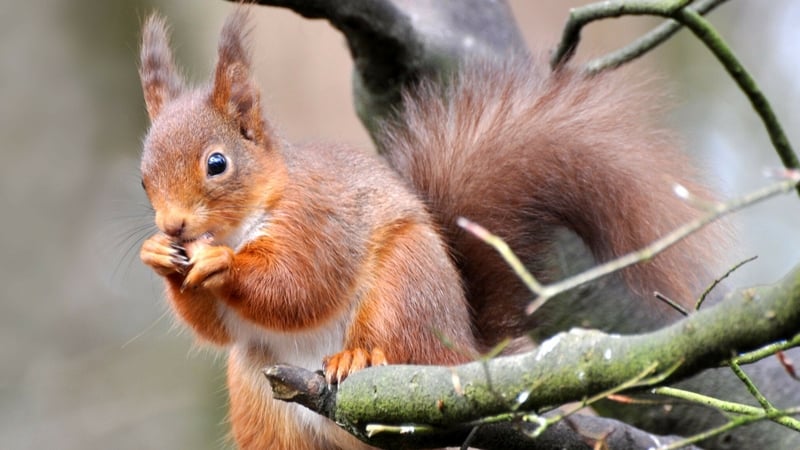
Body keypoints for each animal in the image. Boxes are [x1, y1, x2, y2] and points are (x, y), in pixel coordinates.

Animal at [139, 9, 724, 450]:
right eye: (144, 178)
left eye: (217, 164)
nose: (173, 226)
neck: (246, 218)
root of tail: (465, 349)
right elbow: (216, 328)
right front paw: (158, 257)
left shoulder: (319, 221)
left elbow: (298, 286)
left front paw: (222, 263)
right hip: (258, 398)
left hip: (408, 285)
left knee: (400, 346)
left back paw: (359, 356)